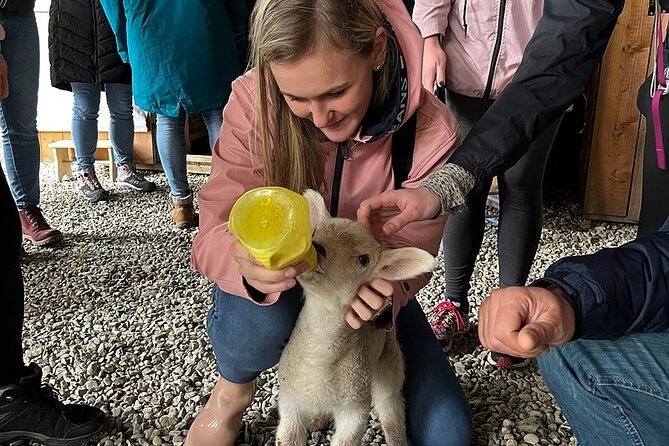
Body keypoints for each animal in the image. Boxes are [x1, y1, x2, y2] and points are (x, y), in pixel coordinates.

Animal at [275, 189, 437, 446]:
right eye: (313, 232)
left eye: (364, 259)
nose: (317, 247)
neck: (319, 370)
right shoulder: (291, 399)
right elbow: (288, 437)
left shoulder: (355, 407)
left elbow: (348, 439)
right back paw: (319, 419)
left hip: (389, 364)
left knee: (392, 414)